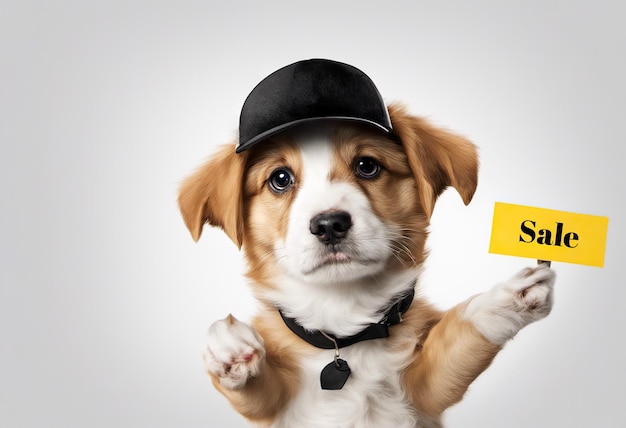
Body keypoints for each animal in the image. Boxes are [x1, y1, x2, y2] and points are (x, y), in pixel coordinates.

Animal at [178, 67, 552, 428]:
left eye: (367, 166)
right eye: (280, 179)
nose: (329, 225)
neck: (344, 331)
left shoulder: (424, 394)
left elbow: (455, 344)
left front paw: (505, 299)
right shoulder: (279, 408)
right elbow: (263, 395)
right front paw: (230, 350)